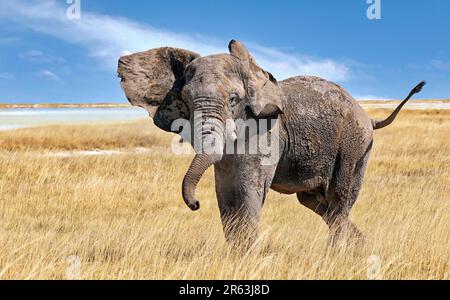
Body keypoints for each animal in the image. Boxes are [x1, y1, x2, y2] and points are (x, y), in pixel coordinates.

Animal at [117, 39, 426, 246]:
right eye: (186, 101)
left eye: (233, 99)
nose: (195, 204)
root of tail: (368, 117)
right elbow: (225, 193)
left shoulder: (264, 131)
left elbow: (245, 191)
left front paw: (244, 257)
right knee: (316, 203)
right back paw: (360, 246)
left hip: (353, 145)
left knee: (339, 199)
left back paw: (338, 253)